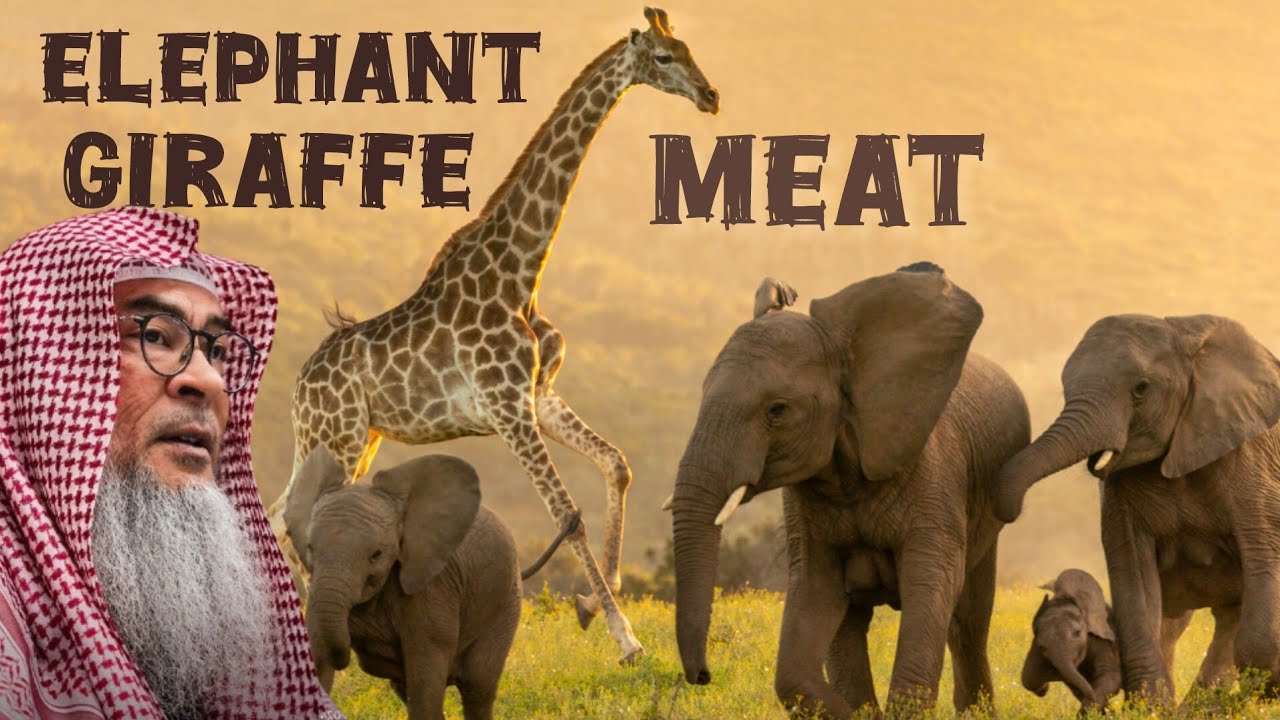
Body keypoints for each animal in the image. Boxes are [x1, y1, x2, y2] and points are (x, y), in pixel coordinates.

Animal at [268, 7, 718, 664]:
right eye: (663, 58)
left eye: (688, 50)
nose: (711, 96)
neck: (520, 270)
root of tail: (301, 384)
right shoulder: (507, 408)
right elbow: (568, 514)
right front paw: (626, 637)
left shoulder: (538, 396)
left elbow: (617, 464)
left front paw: (594, 605)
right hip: (340, 436)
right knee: (298, 515)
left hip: (350, 437)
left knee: (283, 511)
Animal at [285, 447, 557, 720]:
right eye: (310, 548)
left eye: (376, 555)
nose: (344, 659)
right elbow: (316, 656)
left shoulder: (432, 588)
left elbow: (426, 676)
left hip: (505, 603)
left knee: (477, 686)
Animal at [670, 264, 1031, 717]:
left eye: (777, 411)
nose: (702, 676)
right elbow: (815, 593)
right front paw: (860, 714)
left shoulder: (936, 470)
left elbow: (931, 581)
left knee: (967, 622)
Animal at [1020, 569, 1121, 714]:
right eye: (1041, 646)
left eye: (1077, 633)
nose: (1044, 689)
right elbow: (1028, 678)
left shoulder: (1104, 638)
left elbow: (1110, 676)